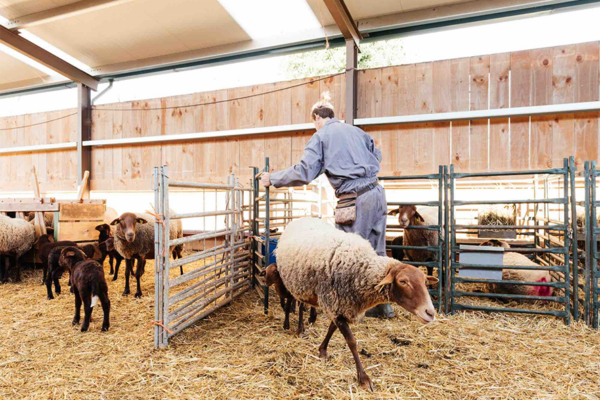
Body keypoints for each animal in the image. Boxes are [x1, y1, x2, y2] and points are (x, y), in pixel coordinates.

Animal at [276, 219, 436, 390]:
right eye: (403, 281)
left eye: (424, 282)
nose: (430, 313)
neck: (360, 270)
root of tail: (300, 219)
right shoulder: (334, 303)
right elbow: (352, 341)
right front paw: (363, 378)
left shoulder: (341, 305)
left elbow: (332, 329)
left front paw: (322, 351)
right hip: (296, 284)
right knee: (298, 305)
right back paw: (299, 329)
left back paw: (310, 320)